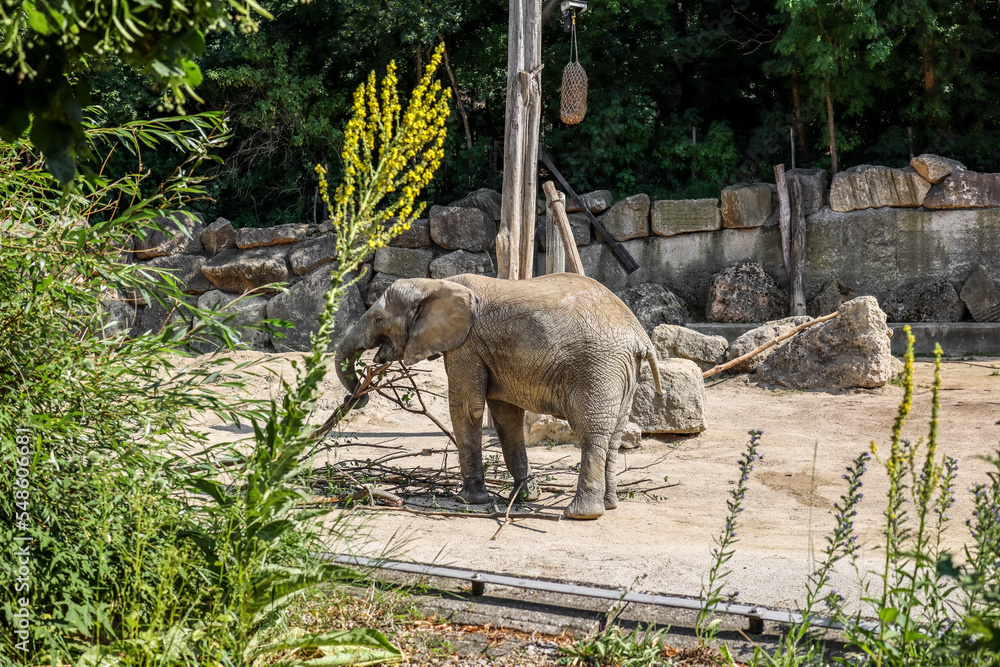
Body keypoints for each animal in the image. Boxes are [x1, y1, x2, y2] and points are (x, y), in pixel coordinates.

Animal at [336, 272, 664, 520]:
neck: (437, 283)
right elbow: (506, 417)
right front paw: (526, 496)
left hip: (597, 367)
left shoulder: (466, 346)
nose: (358, 398)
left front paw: (469, 500)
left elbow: (466, 409)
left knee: (592, 432)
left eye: (379, 318)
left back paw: (582, 514)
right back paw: (610, 505)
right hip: (623, 372)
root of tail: (640, 336)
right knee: (614, 434)